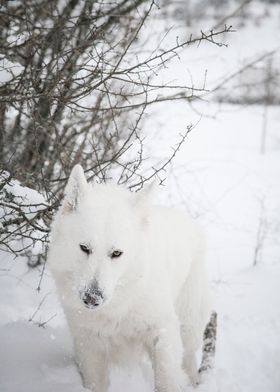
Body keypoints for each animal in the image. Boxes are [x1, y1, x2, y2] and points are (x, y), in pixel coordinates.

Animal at [47, 165, 210, 392]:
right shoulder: (88, 346)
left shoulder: (163, 332)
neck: (118, 307)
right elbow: (95, 384)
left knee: (188, 358)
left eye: (116, 253)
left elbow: (166, 379)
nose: (92, 298)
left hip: (188, 324)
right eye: (84, 248)